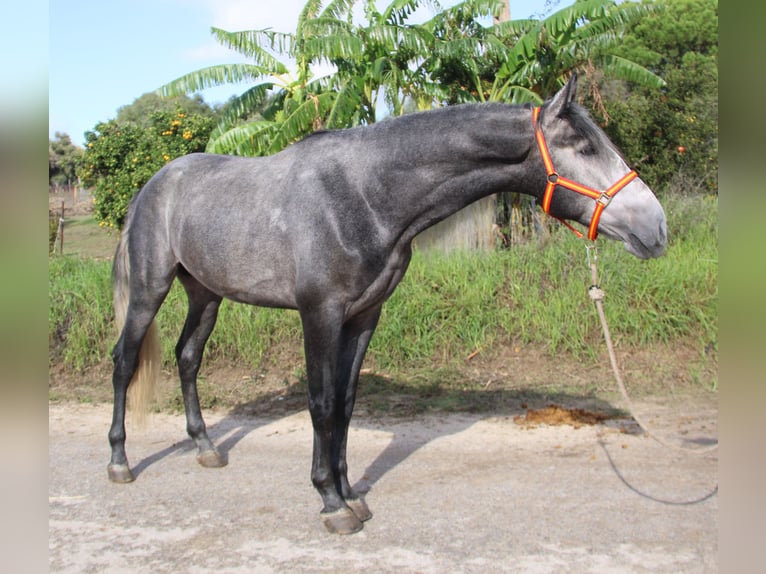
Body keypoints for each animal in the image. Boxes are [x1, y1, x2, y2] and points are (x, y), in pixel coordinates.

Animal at [106, 75, 664, 536]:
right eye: (584, 146)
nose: (655, 227)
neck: (364, 195)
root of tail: (152, 186)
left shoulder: (364, 316)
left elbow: (346, 404)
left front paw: (350, 492)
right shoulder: (320, 315)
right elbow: (321, 403)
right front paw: (330, 503)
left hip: (205, 293)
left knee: (187, 358)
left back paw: (205, 448)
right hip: (150, 291)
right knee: (125, 362)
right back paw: (119, 462)